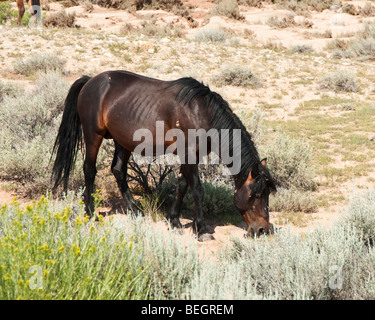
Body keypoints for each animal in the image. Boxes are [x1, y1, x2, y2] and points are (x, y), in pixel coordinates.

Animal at [51, 70, 278, 240]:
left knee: (118, 170)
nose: (262, 230)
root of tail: (91, 81)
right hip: (93, 135)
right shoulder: (188, 154)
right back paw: (90, 213)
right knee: (89, 170)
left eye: (267, 193)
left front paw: (174, 221)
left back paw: (135, 210)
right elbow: (197, 189)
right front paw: (202, 229)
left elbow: (182, 186)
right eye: (256, 194)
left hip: (122, 141)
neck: (201, 112)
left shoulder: (190, 156)